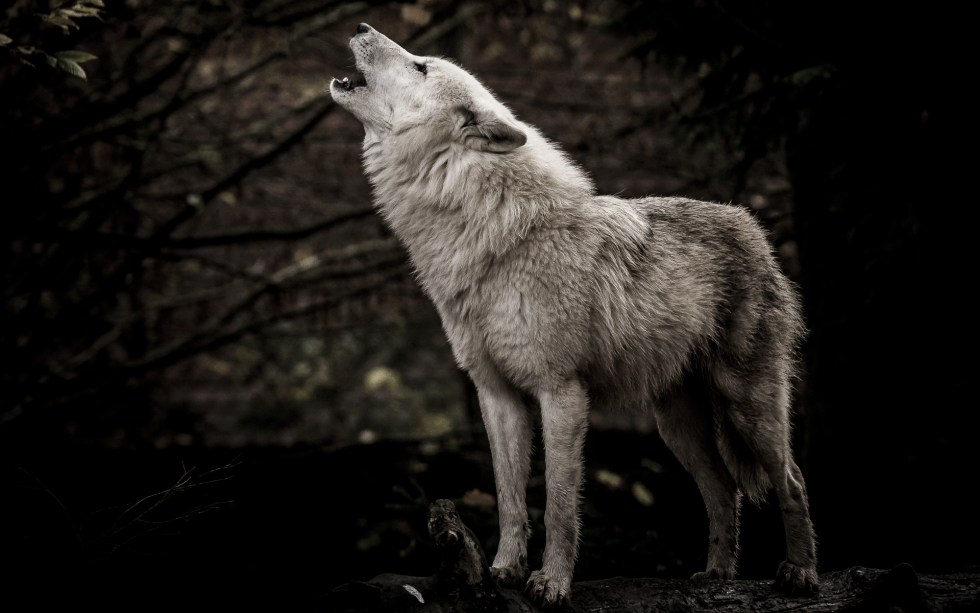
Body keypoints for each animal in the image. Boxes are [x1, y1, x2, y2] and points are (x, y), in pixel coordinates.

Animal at [330, 23, 819, 607]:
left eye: (421, 65)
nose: (362, 27)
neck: (493, 236)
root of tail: (751, 225)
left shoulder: (560, 392)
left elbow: (560, 504)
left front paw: (552, 584)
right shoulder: (496, 394)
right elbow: (510, 497)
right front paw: (503, 571)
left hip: (748, 406)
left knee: (792, 481)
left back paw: (801, 574)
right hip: (675, 425)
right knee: (724, 489)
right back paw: (718, 574)